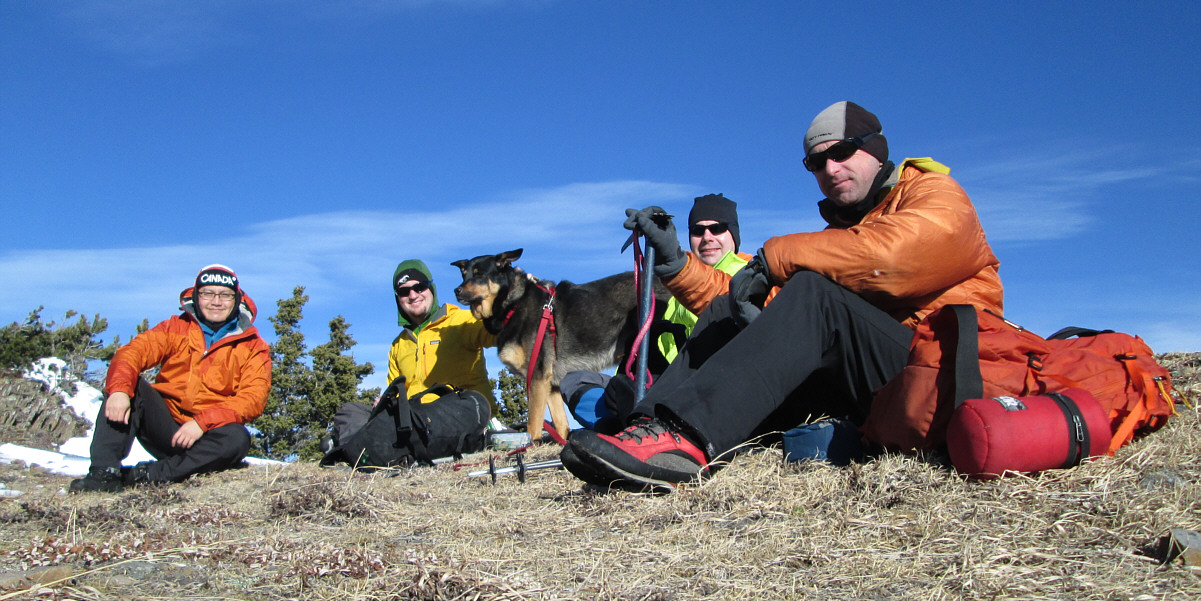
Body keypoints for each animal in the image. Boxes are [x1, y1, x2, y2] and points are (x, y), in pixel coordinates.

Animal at [451, 247, 672, 442]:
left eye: (479, 274)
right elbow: (561, 424)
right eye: (463, 274)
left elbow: (533, 422)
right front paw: (562, 442)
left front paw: (529, 444)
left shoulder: (537, 375)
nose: (456, 290)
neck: (513, 304)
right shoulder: (550, 382)